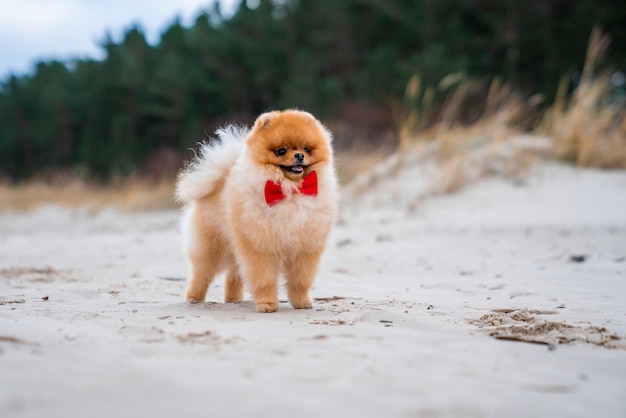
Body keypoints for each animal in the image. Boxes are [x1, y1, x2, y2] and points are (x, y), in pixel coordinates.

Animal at [173, 109, 338, 312]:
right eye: (281, 151)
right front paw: (267, 304)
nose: (299, 155)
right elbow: (263, 279)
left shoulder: (304, 249)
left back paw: (233, 299)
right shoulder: (259, 247)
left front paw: (301, 303)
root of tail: (220, 178)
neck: (290, 190)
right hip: (210, 246)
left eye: (307, 149)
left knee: (233, 274)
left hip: (235, 245)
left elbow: (300, 281)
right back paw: (194, 298)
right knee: (201, 274)